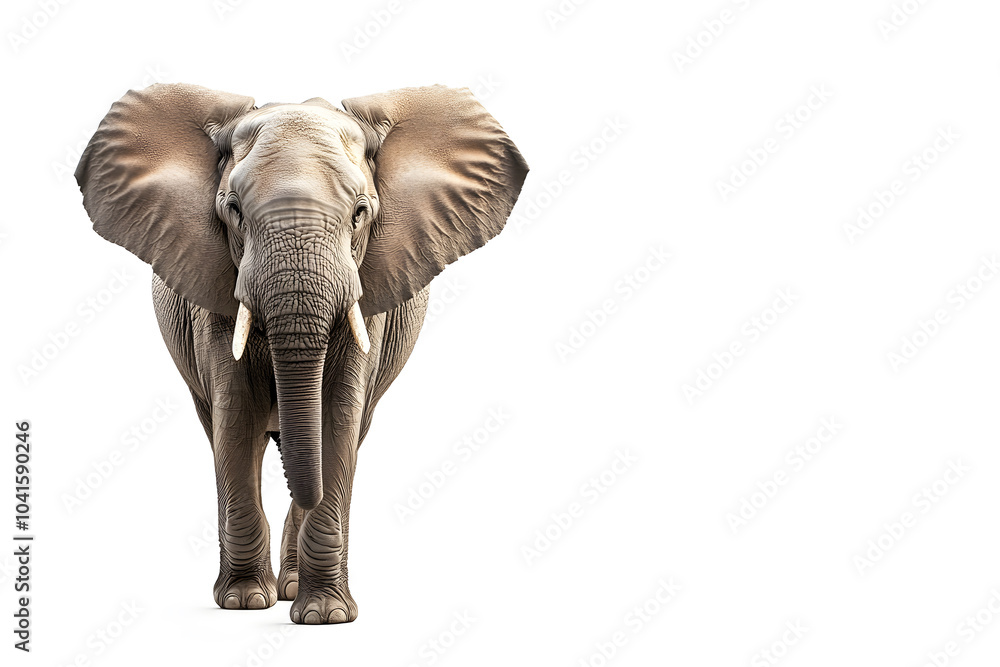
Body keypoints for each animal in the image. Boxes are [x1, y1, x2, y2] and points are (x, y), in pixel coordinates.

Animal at [74, 83, 527, 624]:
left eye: (360, 213)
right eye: (233, 211)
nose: (260, 598)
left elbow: (338, 417)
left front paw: (323, 616)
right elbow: (236, 414)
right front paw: (244, 602)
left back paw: (291, 588)